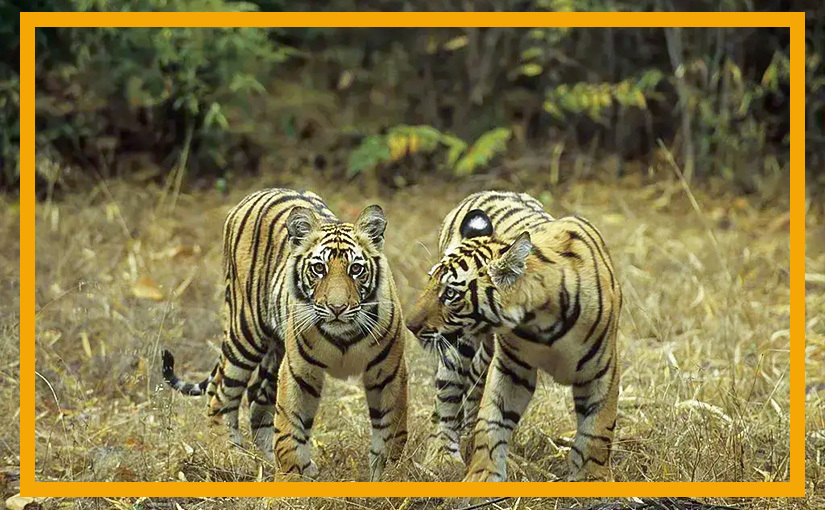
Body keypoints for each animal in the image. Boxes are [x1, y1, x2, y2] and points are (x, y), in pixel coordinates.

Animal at [161, 188, 409, 481]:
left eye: (356, 269)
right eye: (319, 269)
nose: (337, 308)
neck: (344, 335)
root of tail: (256, 193)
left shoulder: (388, 372)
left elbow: (391, 431)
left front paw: (389, 475)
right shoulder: (299, 370)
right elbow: (291, 428)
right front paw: (292, 475)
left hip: (276, 349)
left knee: (256, 399)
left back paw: (265, 460)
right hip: (245, 333)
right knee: (220, 393)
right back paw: (228, 456)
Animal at [406, 190, 621, 482]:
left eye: (450, 294)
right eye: (430, 282)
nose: (409, 325)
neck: (542, 322)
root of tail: (483, 192)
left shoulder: (601, 370)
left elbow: (596, 430)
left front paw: (591, 478)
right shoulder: (511, 367)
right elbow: (492, 421)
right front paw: (483, 475)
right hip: (457, 346)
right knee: (447, 398)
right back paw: (442, 458)